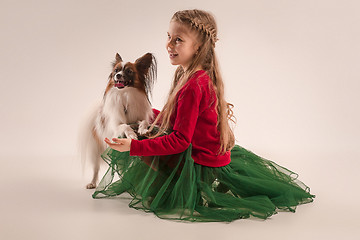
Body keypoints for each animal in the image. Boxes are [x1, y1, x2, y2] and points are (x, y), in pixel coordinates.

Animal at [80, 52, 156, 189]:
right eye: (116, 70)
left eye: (129, 71)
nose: (118, 75)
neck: (125, 95)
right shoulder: (115, 124)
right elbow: (125, 125)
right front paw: (131, 135)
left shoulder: (139, 116)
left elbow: (144, 122)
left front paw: (142, 129)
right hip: (96, 149)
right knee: (96, 167)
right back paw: (93, 183)